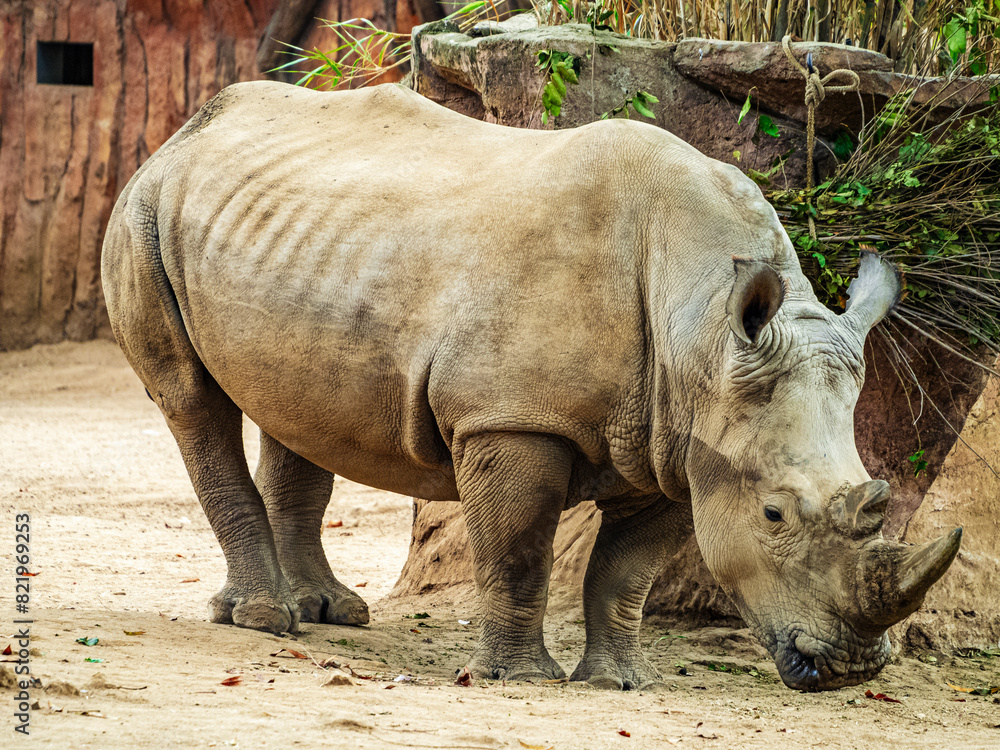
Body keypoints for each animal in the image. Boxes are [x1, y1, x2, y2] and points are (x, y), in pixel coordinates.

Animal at [101, 80, 961, 692]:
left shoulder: (678, 444)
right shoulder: (512, 418)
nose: (852, 670)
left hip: (291, 239)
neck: (703, 330)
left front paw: (622, 683)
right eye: (775, 514)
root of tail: (183, 132)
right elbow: (519, 550)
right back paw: (264, 621)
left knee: (298, 407)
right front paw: (519, 680)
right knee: (192, 402)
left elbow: (626, 571)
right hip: (143, 210)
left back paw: (332, 614)